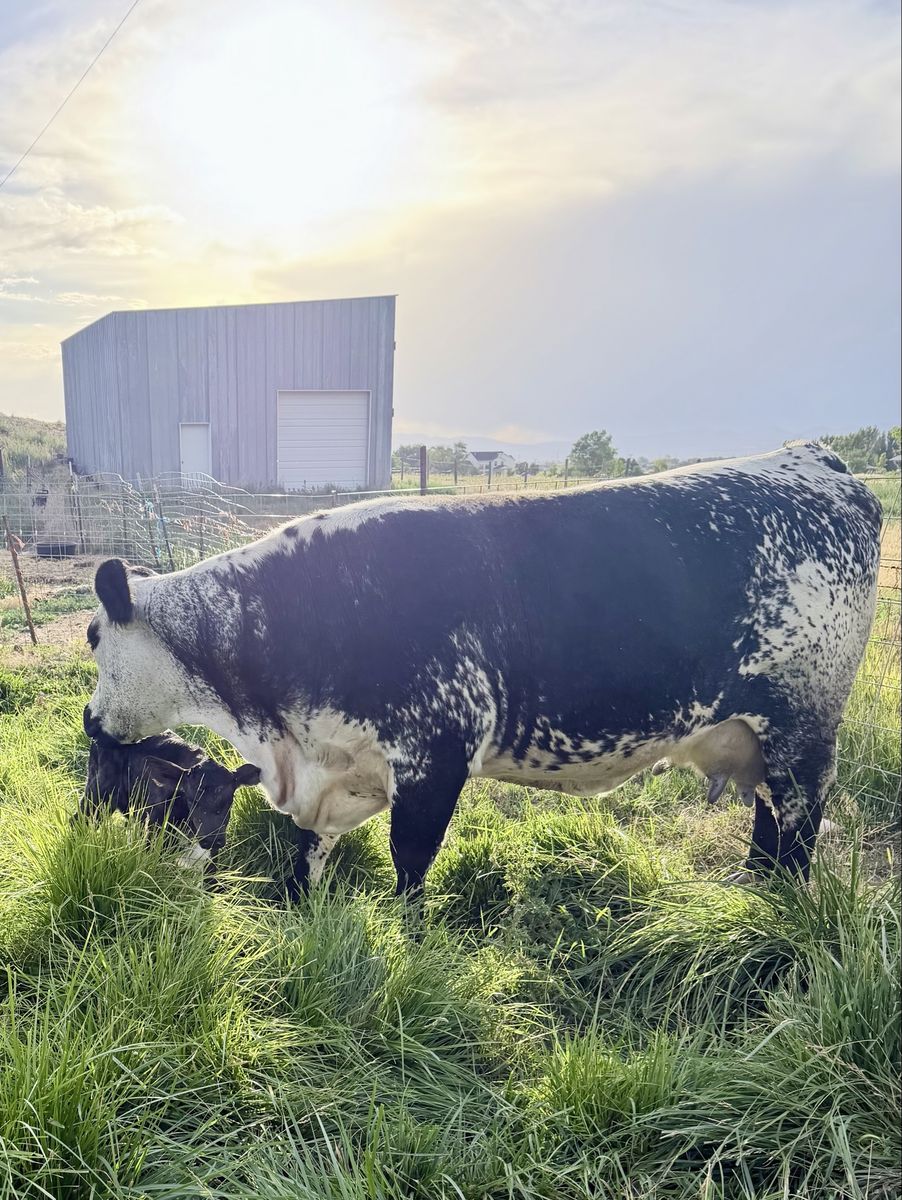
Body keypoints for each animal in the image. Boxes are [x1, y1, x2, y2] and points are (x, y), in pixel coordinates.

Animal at [82, 443, 881, 899]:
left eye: (92, 636)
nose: (88, 720)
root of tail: (817, 460)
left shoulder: (435, 758)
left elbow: (409, 863)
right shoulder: (336, 770)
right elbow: (307, 858)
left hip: (804, 727)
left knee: (798, 826)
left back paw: (777, 908)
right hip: (760, 737)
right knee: (769, 820)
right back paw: (752, 890)